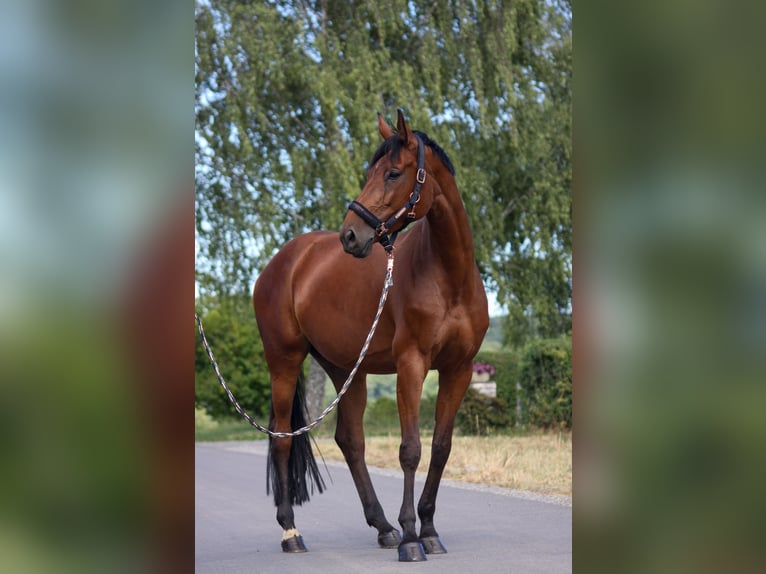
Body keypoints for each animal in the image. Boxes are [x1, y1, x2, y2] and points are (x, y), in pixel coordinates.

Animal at [252, 109, 489, 561]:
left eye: (394, 173)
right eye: (370, 172)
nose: (350, 235)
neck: (448, 278)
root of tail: (284, 261)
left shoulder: (459, 370)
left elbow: (440, 448)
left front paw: (428, 530)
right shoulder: (411, 365)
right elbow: (410, 450)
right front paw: (412, 538)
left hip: (345, 368)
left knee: (350, 440)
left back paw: (382, 527)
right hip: (284, 361)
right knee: (282, 439)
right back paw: (292, 532)